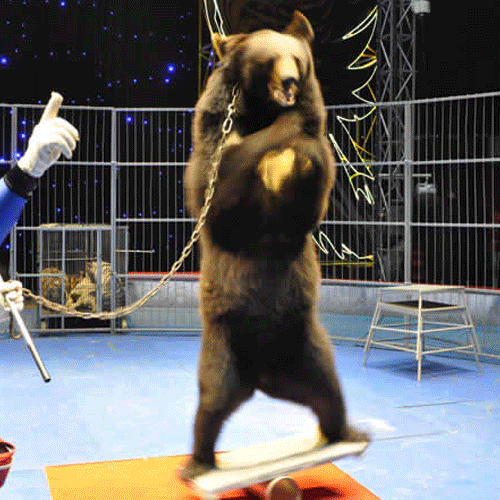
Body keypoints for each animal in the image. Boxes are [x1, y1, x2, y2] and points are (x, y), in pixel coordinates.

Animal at [181, 10, 369, 480]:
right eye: (267, 59)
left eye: (296, 58)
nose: (289, 82)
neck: (263, 113)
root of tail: (264, 378)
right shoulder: (217, 138)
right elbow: (219, 192)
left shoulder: (311, 171)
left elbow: (308, 192)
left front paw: (299, 134)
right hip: (223, 344)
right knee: (210, 404)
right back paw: (198, 463)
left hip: (309, 347)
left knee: (330, 392)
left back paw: (347, 431)